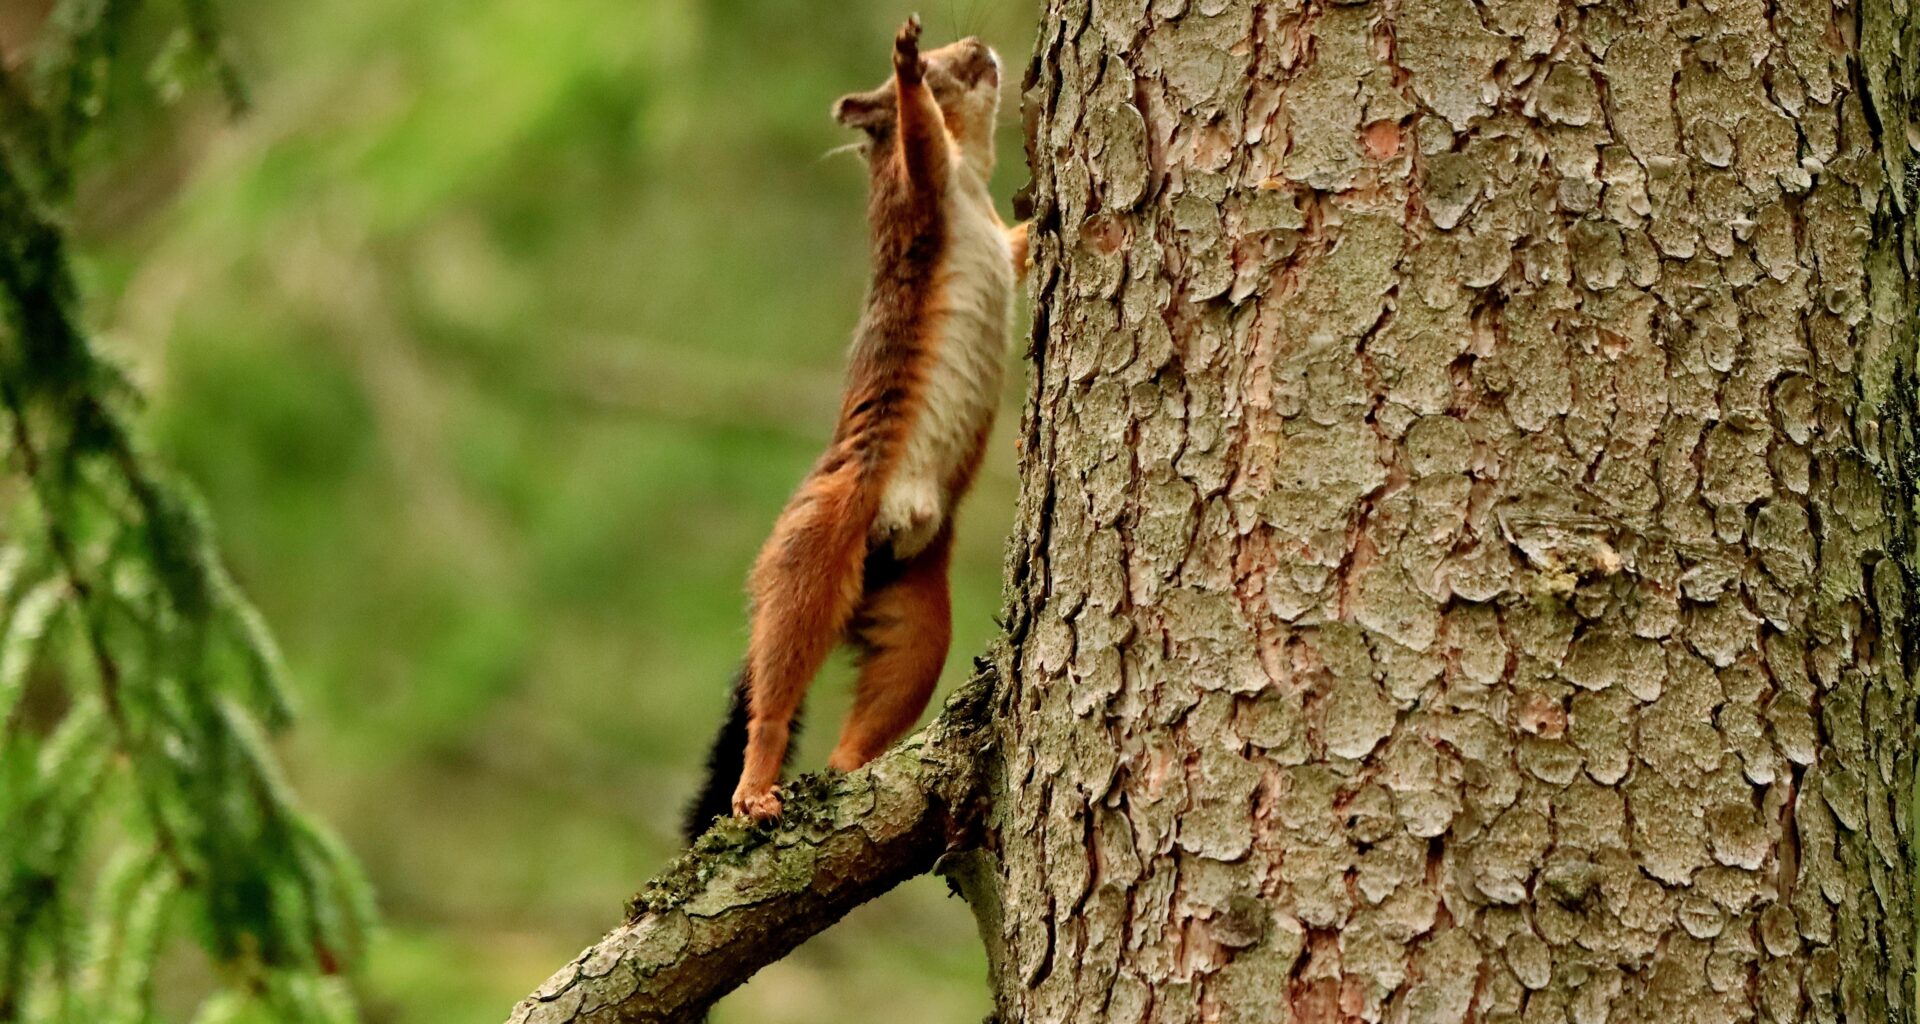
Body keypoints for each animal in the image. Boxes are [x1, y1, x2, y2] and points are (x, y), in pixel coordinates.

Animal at [683, 16, 1029, 838]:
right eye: (940, 64)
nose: (978, 48)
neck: (973, 181)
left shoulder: (988, 232)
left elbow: (1017, 246)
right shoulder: (918, 194)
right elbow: (920, 141)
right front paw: (903, 68)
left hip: (913, 612)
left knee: (882, 696)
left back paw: (851, 767)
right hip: (819, 542)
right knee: (779, 677)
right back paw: (757, 785)